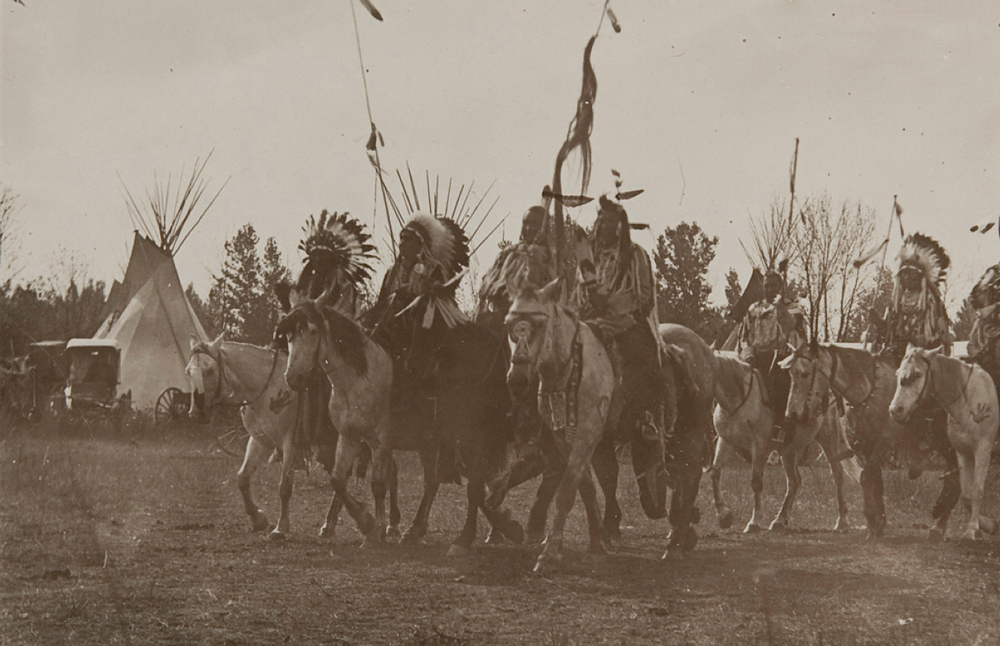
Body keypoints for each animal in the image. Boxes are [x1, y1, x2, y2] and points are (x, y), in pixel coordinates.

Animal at [708, 354, 856, 536]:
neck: (739, 398)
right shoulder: (726, 441)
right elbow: (715, 473)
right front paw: (724, 516)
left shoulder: (759, 448)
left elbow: (756, 483)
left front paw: (754, 522)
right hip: (788, 451)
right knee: (794, 481)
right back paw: (780, 520)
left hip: (828, 438)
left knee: (838, 476)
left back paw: (842, 521)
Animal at [892, 350, 1000, 540]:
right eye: (898, 373)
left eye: (918, 374)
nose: (895, 410)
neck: (969, 401)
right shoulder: (962, 452)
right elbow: (966, 493)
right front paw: (987, 525)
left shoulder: (983, 450)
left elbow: (977, 490)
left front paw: (972, 529)